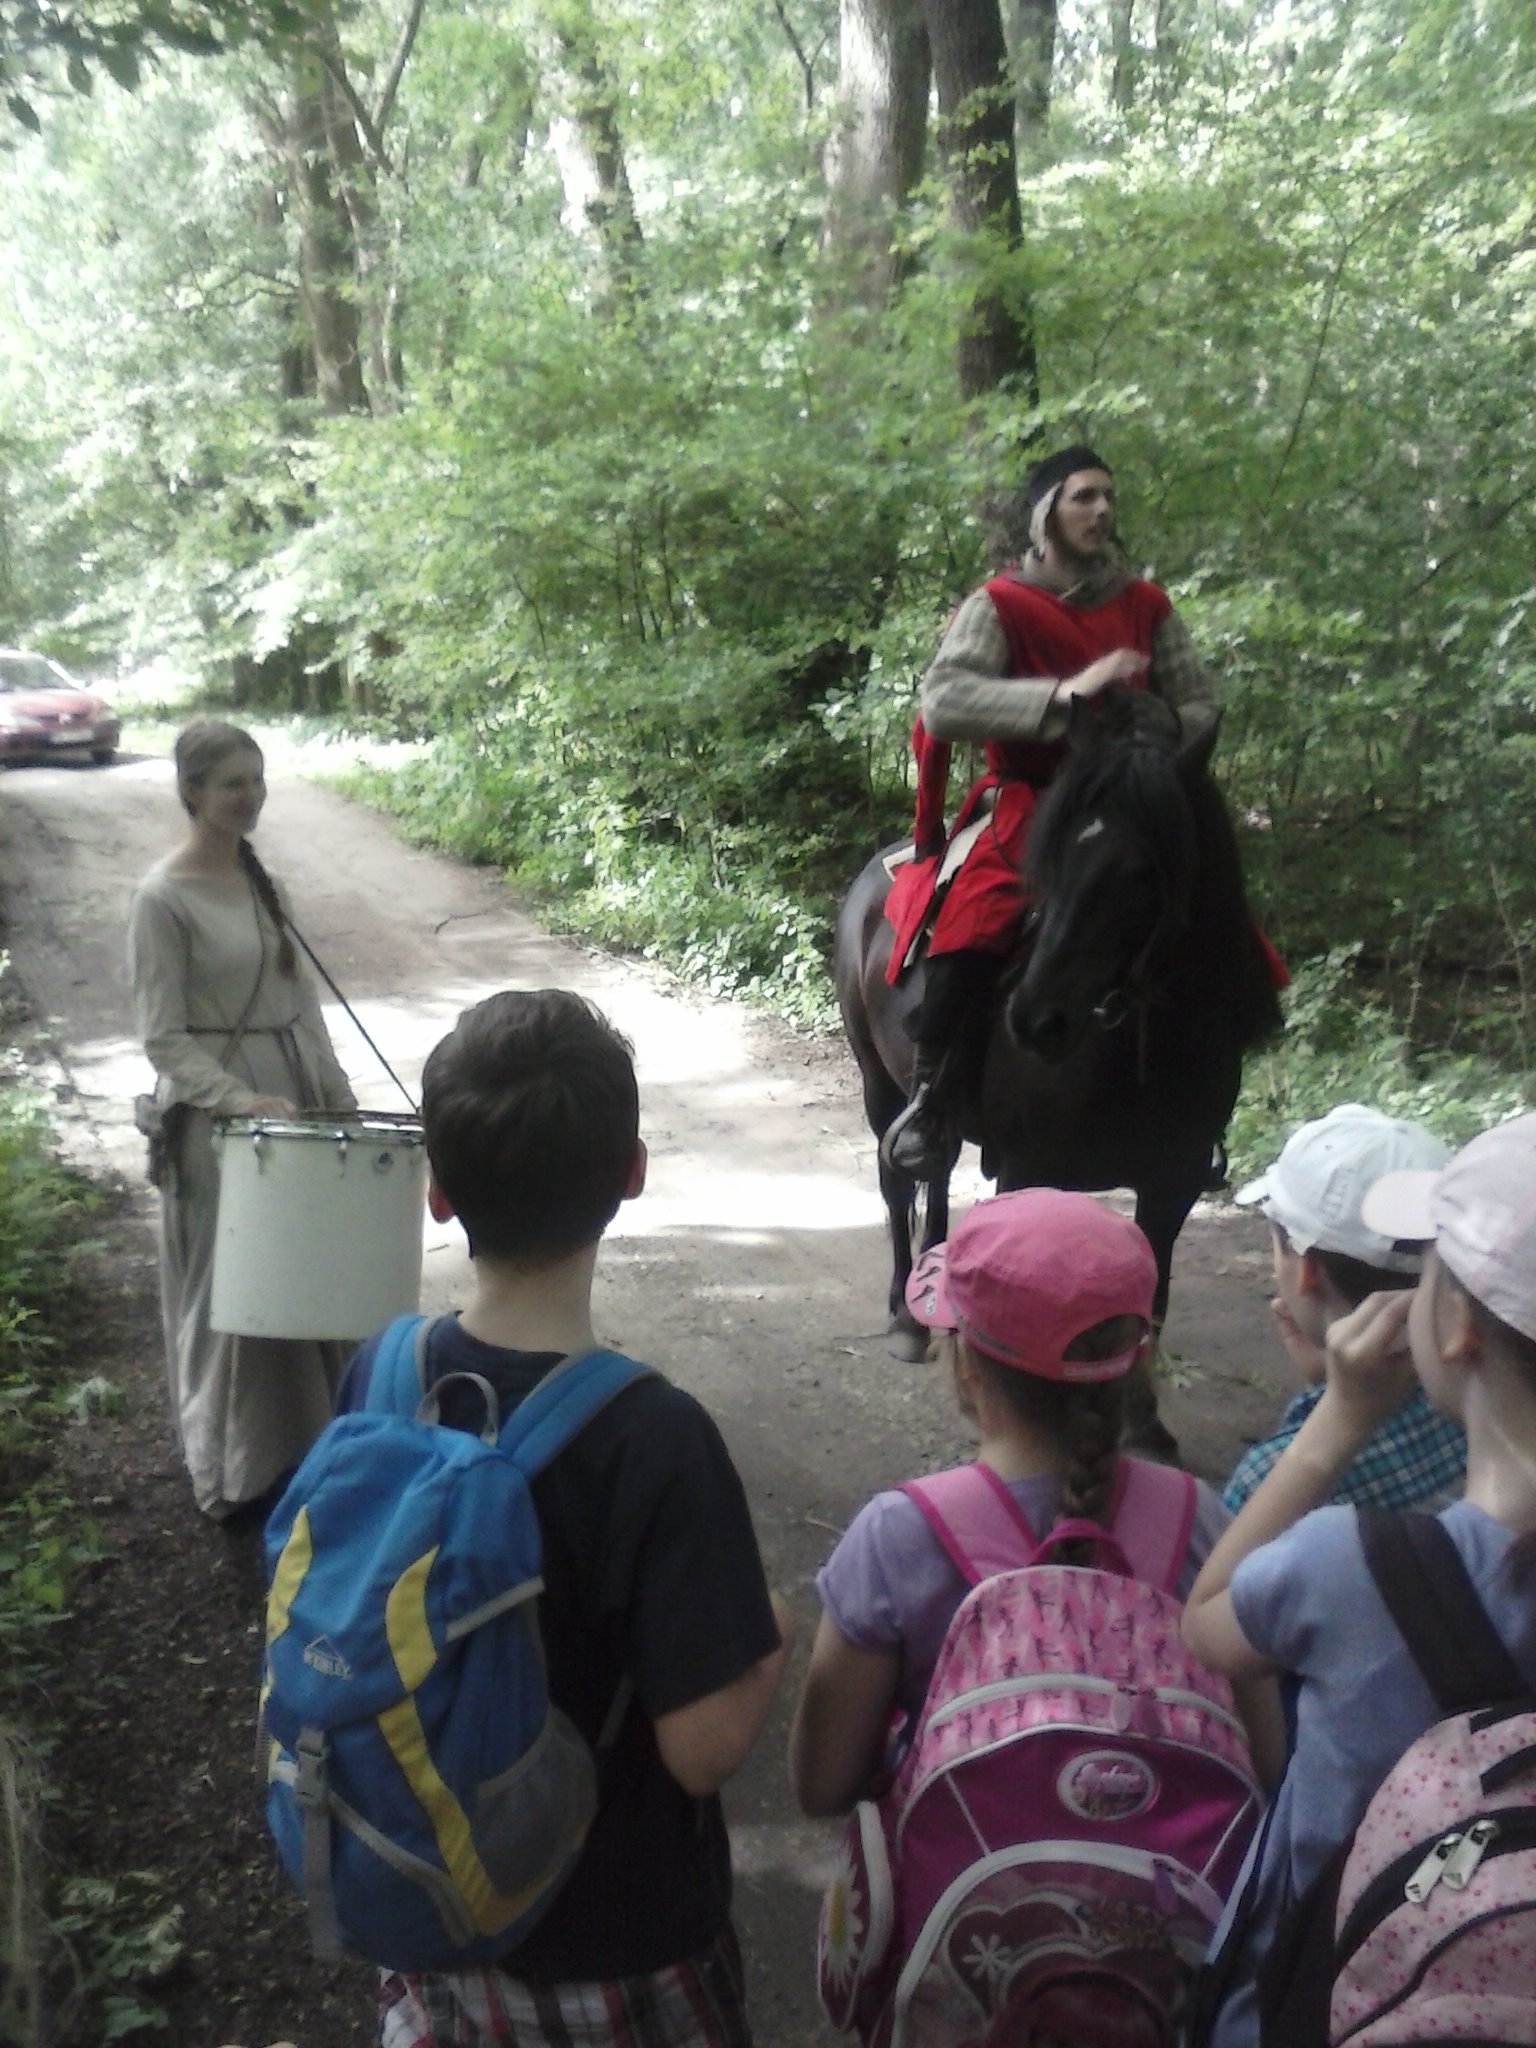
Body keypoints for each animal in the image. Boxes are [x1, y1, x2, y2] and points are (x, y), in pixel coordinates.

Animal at [834, 689, 1283, 1451]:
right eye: (1049, 860)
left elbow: (1153, 1293)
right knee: (899, 1186)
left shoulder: (1172, 1184)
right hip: (879, 1083)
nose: (1035, 1017)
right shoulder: (1028, 1171)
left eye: (1145, 872)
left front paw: (1144, 1423)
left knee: (937, 1174)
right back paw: (905, 1314)